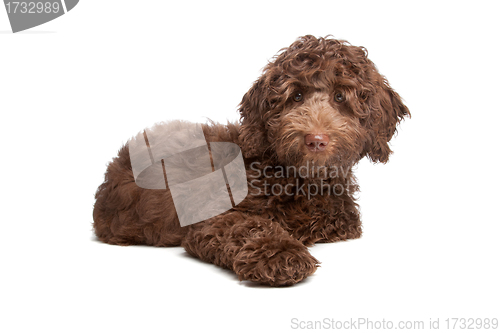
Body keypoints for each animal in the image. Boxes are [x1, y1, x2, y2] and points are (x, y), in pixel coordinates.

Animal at [94, 35, 410, 286]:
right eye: (296, 96)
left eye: (341, 96)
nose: (315, 139)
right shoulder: (215, 216)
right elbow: (250, 226)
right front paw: (283, 255)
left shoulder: (342, 219)